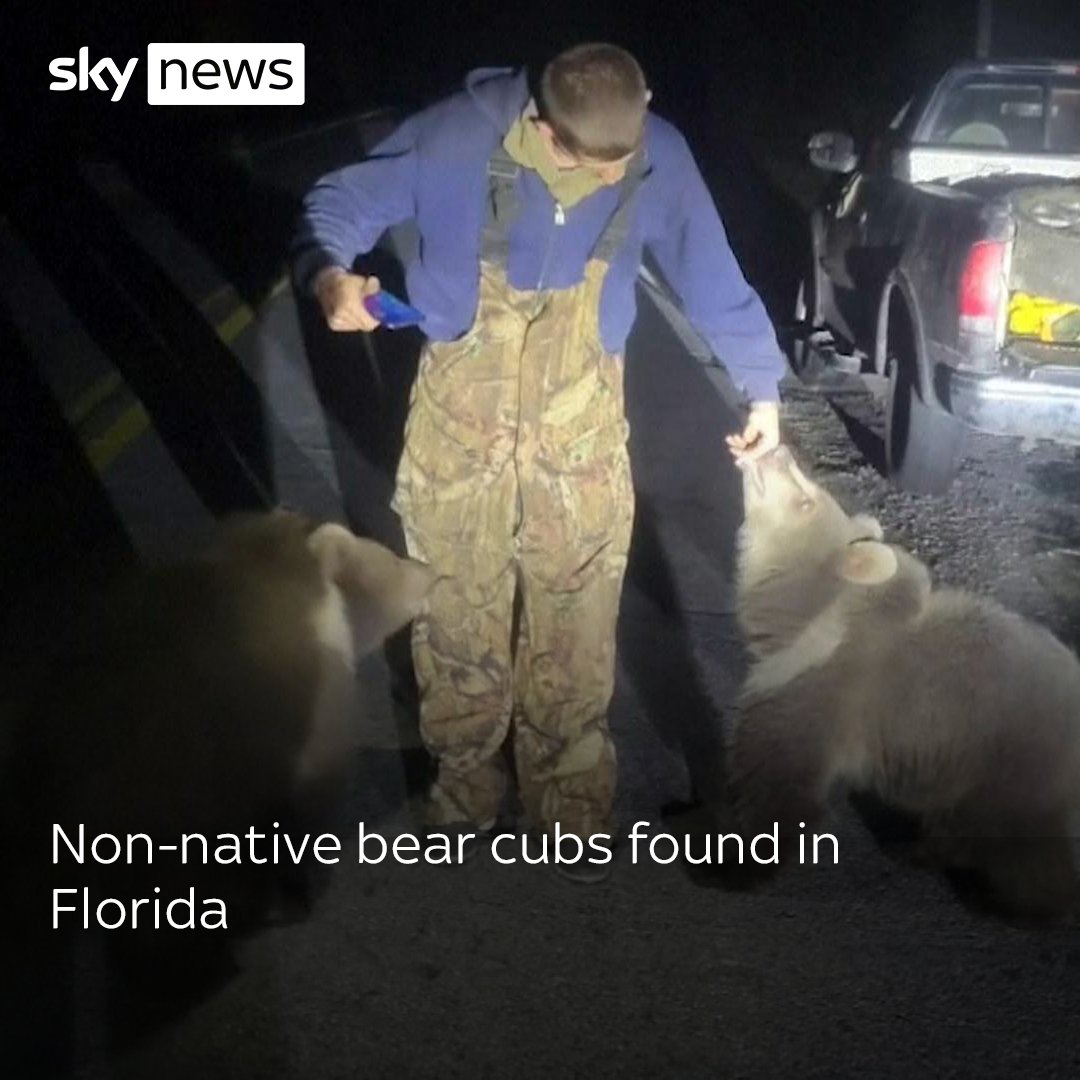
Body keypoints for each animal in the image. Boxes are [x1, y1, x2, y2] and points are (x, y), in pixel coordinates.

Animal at [728, 444, 1080, 921]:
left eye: (806, 499)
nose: (777, 451)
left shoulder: (823, 687)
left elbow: (782, 777)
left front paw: (741, 862)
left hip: (1012, 767)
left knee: (1012, 848)